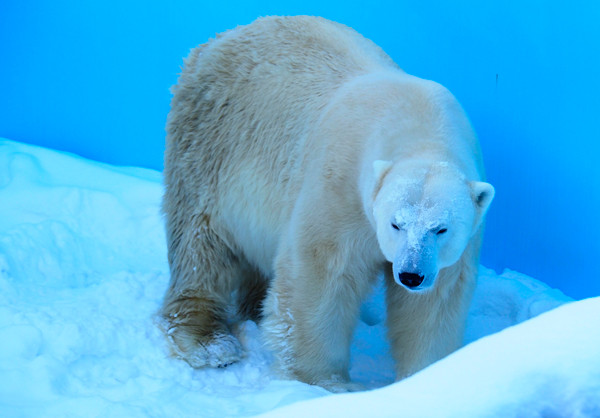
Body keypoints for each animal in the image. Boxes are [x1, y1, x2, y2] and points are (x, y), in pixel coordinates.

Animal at [159, 13, 492, 392]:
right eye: (396, 223)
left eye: (441, 229)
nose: (410, 275)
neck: (420, 125)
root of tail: (217, 40)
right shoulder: (339, 186)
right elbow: (320, 275)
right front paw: (327, 383)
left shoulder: (457, 239)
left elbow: (434, 303)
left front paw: (430, 377)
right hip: (207, 146)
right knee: (201, 245)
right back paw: (209, 342)